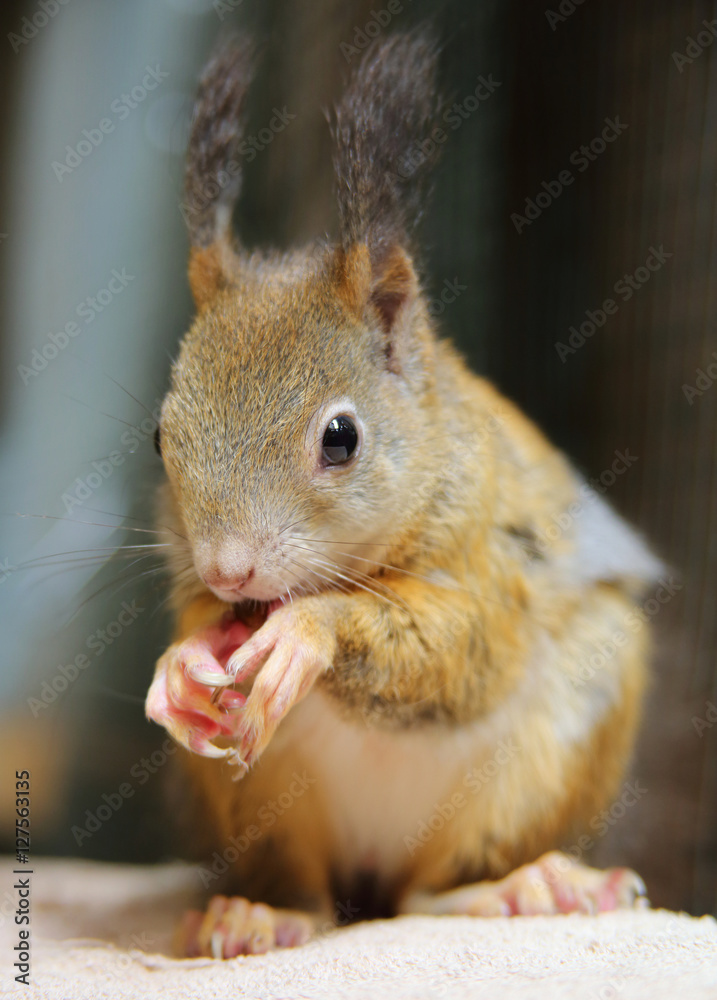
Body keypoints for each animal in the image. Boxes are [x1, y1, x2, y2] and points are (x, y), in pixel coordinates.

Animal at [145, 33, 663, 958]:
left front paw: (306, 633)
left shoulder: (490, 556)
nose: (229, 571)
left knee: (428, 894)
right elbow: (193, 630)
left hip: (545, 753)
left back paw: (525, 888)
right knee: (315, 901)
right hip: (264, 804)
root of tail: (372, 875)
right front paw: (177, 668)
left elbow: (457, 648)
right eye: (158, 438)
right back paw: (255, 915)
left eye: (340, 438)